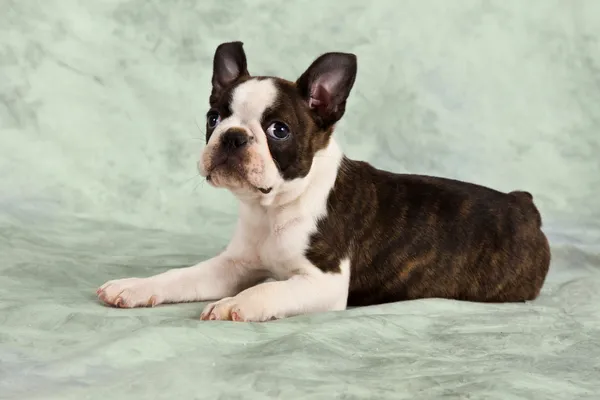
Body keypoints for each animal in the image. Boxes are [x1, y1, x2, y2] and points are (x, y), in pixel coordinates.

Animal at [96, 41, 552, 322]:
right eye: (214, 118)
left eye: (278, 130)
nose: (232, 136)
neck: (275, 207)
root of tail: (523, 203)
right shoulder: (233, 265)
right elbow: (181, 276)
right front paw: (135, 286)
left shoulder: (324, 283)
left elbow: (268, 292)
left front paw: (232, 304)